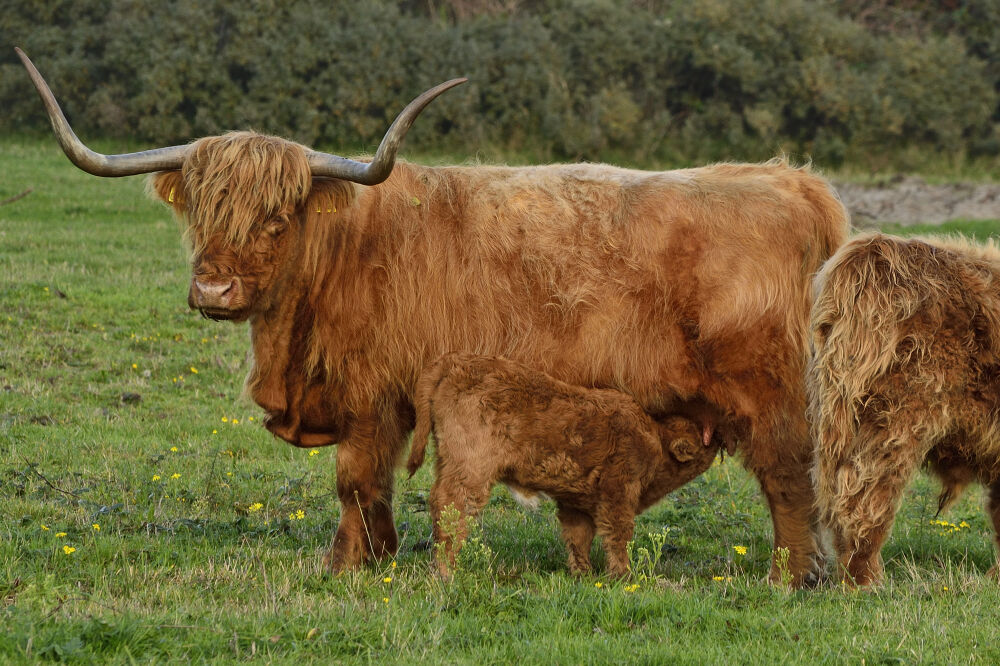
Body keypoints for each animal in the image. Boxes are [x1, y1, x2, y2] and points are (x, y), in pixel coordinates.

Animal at [404, 352, 720, 576]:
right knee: (451, 506)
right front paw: (623, 575)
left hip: (446, 460)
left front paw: (583, 572)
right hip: (470, 469)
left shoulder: (576, 501)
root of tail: (453, 361)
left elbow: (578, 537)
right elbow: (618, 535)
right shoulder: (618, 492)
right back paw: (448, 570)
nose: (718, 432)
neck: (654, 438)